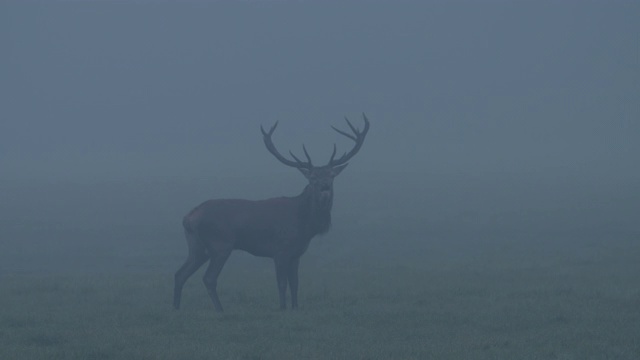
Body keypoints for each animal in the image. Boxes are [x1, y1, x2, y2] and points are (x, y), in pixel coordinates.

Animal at [172, 114, 370, 310]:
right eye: (313, 177)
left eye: (331, 175)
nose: (325, 187)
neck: (305, 225)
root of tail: (188, 218)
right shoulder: (280, 250)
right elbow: (282, 284)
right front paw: (282, 308)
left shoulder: (296, 254)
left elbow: (295, 283)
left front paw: (295, 308)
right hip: (220, 244)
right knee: (209, 278)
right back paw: (220, 311)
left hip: (197, 247)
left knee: (180, 273)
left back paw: (176, 308)